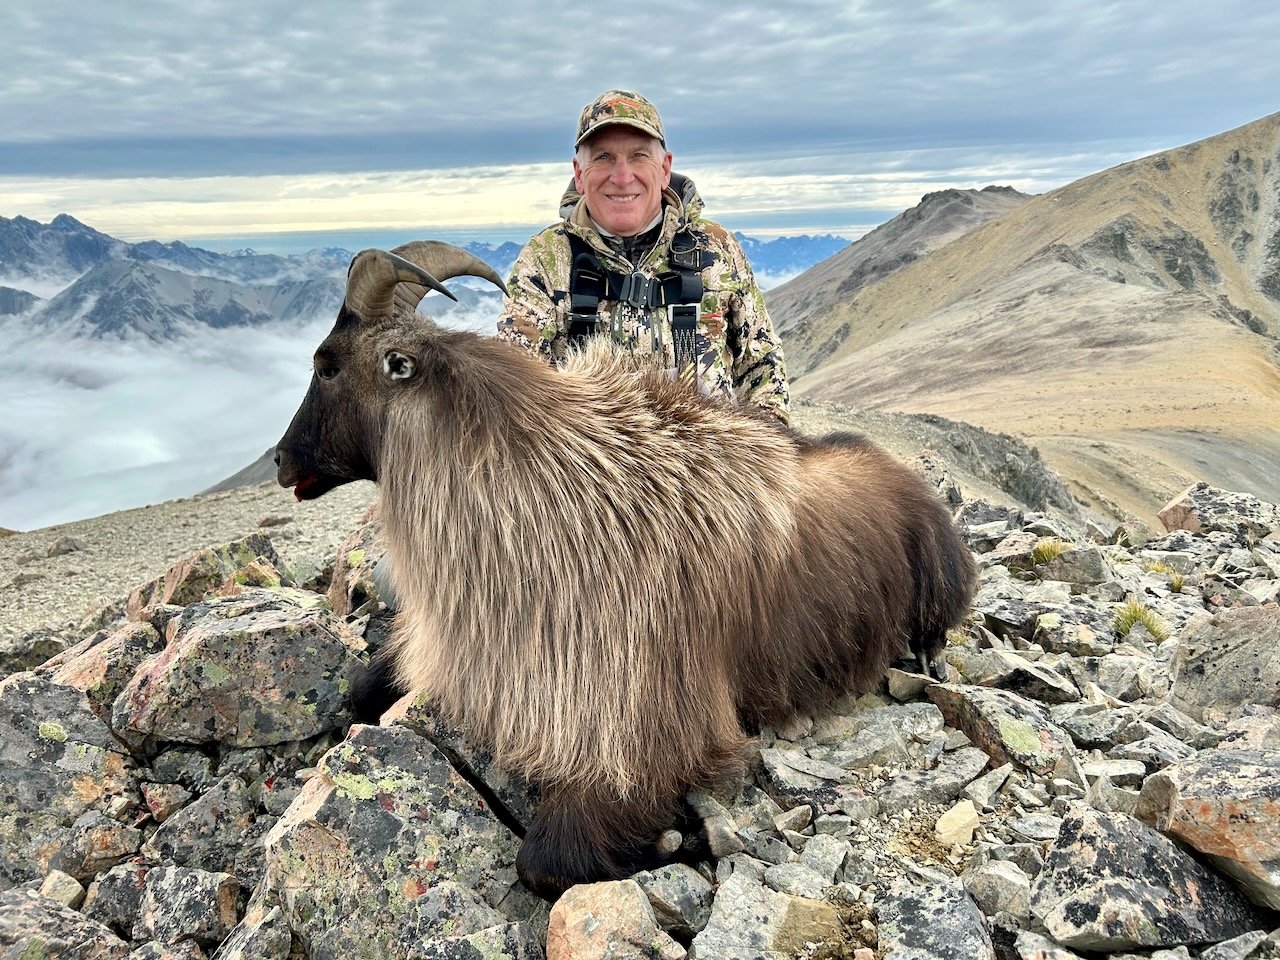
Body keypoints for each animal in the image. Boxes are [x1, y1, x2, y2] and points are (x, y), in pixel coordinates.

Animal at [275, 241, 976, 899]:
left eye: (326, 365)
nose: (281, 460)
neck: (546, 499)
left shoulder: (638, 722)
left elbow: (545, 861)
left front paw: (685, 837)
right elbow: (363, 689)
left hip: (937, 575)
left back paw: (929, 656)